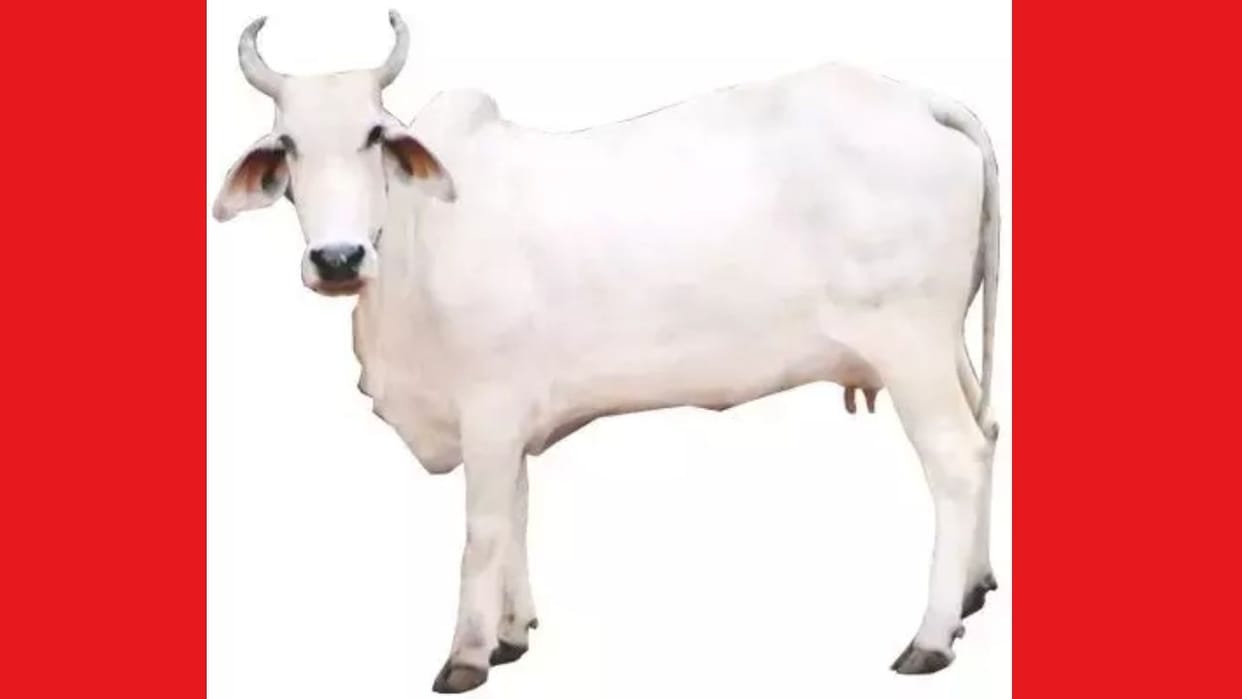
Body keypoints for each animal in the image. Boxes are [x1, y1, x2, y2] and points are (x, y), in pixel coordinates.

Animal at [212, 11, 1003, 693]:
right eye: (285, 146)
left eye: (375, 135)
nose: (337, 258)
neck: (416, 237)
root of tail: (922, 101)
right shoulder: (511, 419)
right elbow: (518, 514)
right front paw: (511, 634)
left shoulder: (489, 411)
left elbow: (484, 531)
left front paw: (467, 655)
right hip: (946, 346)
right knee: (989, 431)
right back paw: (973, 590)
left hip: (909, 349)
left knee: (957, 458)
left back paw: (931, 637)